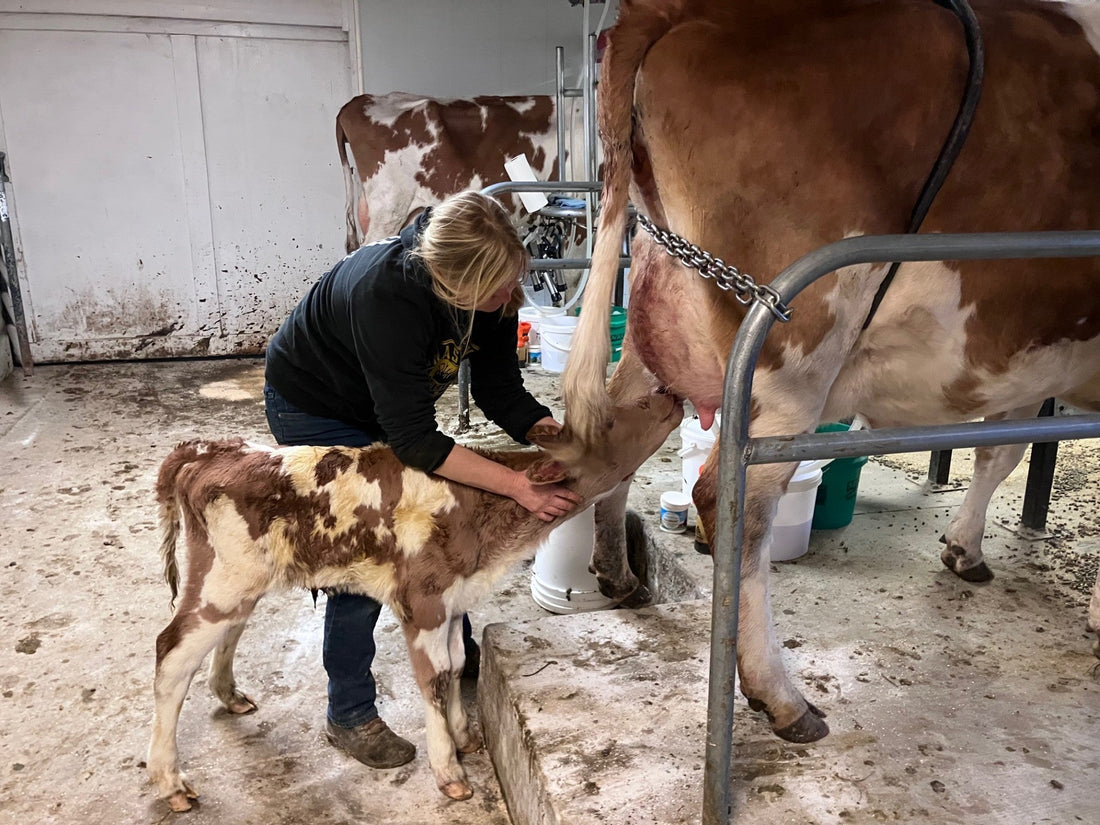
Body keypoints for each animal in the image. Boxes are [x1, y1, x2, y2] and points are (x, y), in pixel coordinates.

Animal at [145, 388, 683, 812]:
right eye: (614, 417)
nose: (665, 391)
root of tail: (212, 449)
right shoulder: (421, 600)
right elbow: (435, 678)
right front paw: (449, 771)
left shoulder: (455, 597)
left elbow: (457, 662)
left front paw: (464, 735)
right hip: (224, 580)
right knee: (172, 653)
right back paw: (171, 781)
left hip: (241, 581)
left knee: (228, 632)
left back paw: (230, 696)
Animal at [563, 0, 1100, 747]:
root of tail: (678, 9)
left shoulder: (1027, 364)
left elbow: (1002, 450)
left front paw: (963, 548)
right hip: (794, 351)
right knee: (732, 504)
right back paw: (781, 696)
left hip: (661, 322)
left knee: (617, 436)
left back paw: (618, 576)